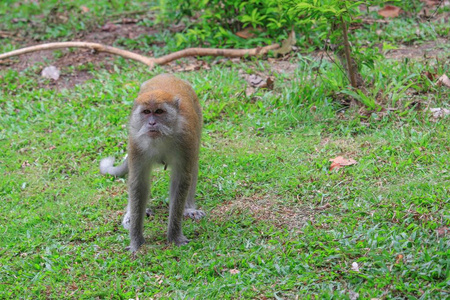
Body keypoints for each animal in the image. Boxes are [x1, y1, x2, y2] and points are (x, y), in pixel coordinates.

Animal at [100, 74, 206, 252]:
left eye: (159, 112)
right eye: (146, 112)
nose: (151, 123)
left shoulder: (186, 141)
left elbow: (181, 180)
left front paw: (174, 236)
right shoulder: (136, 144)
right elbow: (138, 184)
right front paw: (136, 241)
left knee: (194, 163)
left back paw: (188, 207)